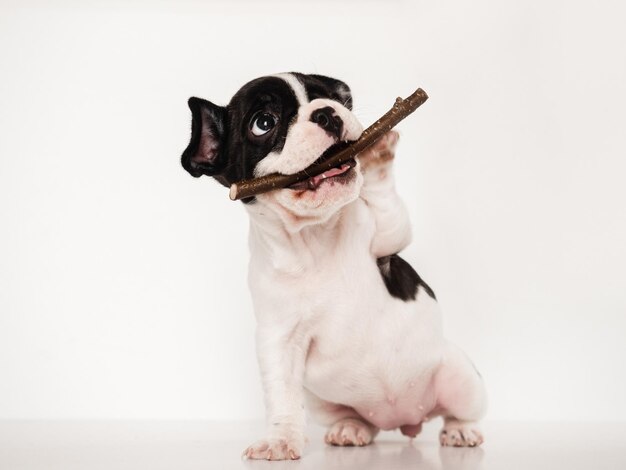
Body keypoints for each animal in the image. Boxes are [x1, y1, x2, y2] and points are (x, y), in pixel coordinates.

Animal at [178, 72, 486, 458]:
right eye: (263, 123)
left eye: (336, 98)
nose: (327, 113)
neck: (314, 237)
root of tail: (404, 422)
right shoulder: (278, 339)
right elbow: (281, 395)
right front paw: (280, 440)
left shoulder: (387, 240)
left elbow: (386, 205)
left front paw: (376, 153)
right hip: (324, 402)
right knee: (359, 420)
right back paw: (351, 428)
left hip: (458, 374)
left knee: (461, 411)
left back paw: (461, 430)